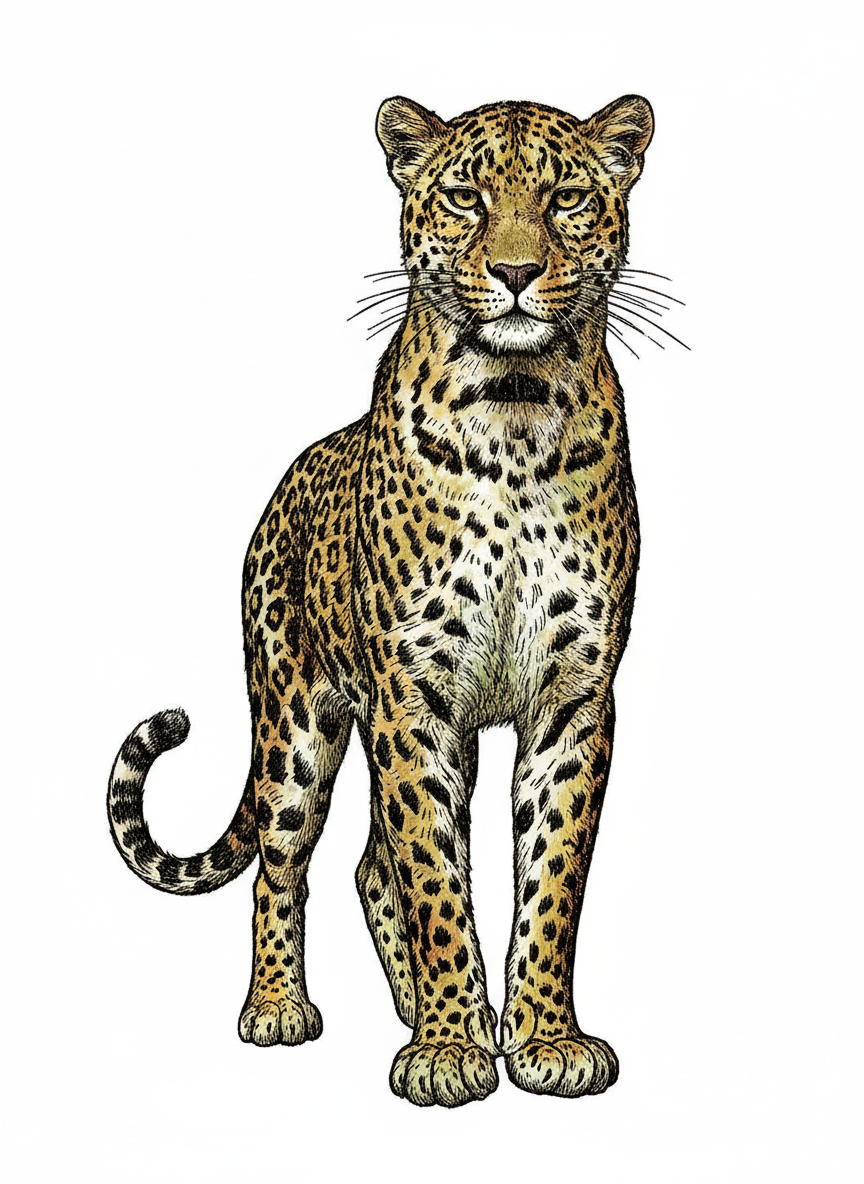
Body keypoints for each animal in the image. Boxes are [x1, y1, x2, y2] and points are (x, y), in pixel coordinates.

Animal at [108, 93, 655, 1108]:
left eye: (564, 199)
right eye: (465, 196)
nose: (514, 272)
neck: (516, 413)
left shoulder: (574, 699)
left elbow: (551, 877)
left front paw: (540, 1037)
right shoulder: (413, 695)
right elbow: (434, 874)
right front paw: (447, 1053)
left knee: (369, 864)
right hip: (295, 725)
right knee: (283, 866)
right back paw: (283, 1009)